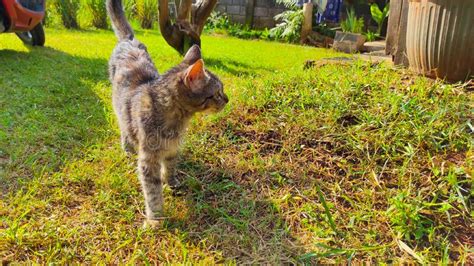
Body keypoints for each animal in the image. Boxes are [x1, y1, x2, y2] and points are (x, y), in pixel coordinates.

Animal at [107, 0, 228, 224]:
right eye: (216, 93)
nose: (227, 99)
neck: (177, 121)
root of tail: (129, 40)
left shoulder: (172, 149)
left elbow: (170, 167)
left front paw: (171, 183)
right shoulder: (148, 160)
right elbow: (153, 192)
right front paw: (155, 218)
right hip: (120, 112)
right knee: (124, 129)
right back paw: (127, 149)